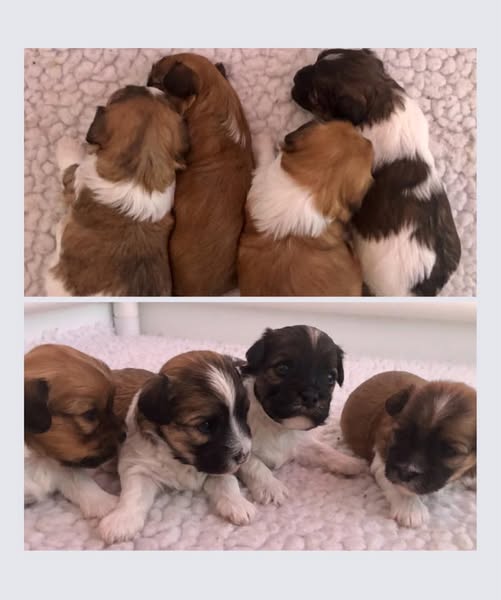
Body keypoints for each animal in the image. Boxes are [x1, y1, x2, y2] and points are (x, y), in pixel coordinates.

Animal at [24, 344, 126, 518]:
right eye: (90, 415)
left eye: (111, 405)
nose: (125, 434)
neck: (37, 457)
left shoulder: (63, 466)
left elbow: (80, 481)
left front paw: (107, 504)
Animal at [98, 351, 254, 544]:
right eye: (205, 426)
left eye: (243, 414)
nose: (244, 456)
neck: (180, 458)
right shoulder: (138, 467)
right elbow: (134, 494)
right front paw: (121, 521)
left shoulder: (218, 466)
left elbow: (228, 481)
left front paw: (238, 504)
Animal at [341, 371, 476, 527]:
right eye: (401, 434)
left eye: (450, 451)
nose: (405, 472)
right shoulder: (382, 458)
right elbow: (400, 486)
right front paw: (410, 508)